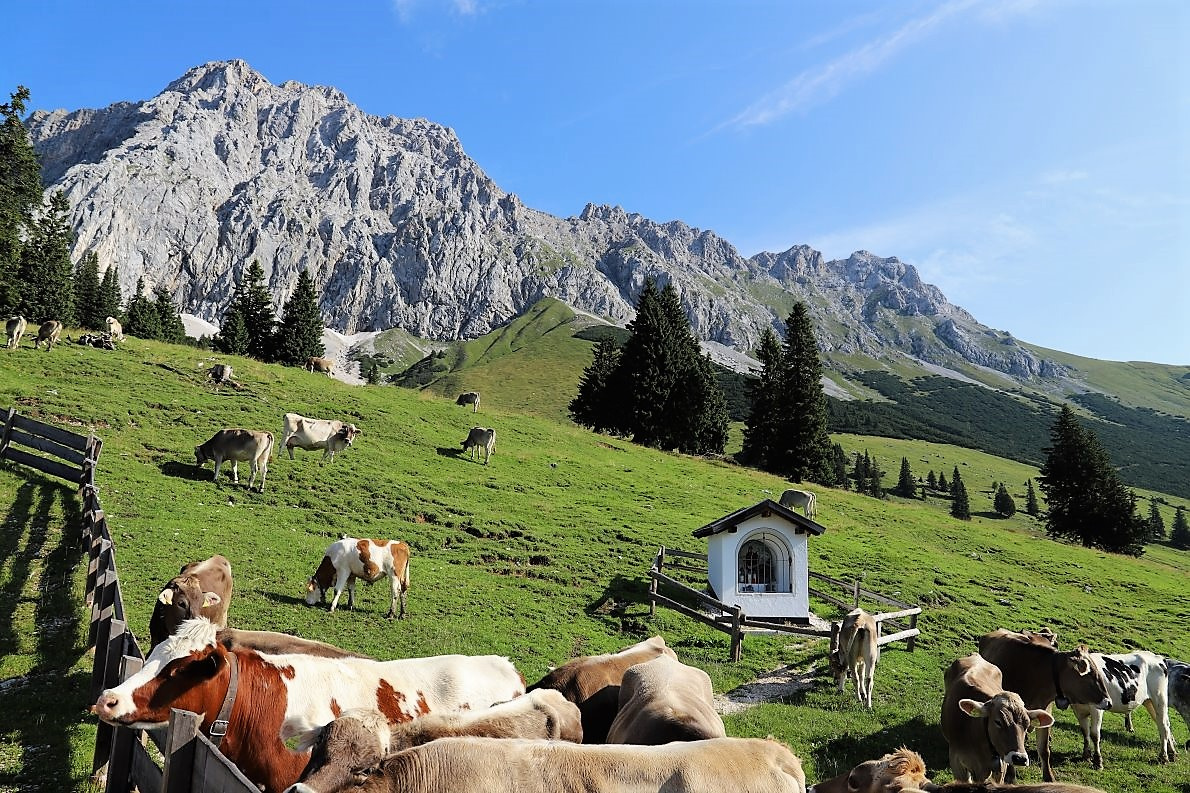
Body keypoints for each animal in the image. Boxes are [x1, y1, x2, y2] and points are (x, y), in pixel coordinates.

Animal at [978, 629, 1112, 782]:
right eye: (1090, 676)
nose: (1109, 702)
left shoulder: (1044, 710)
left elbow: (1044, 749)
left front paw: (1049, 777)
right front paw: (1011, 776)